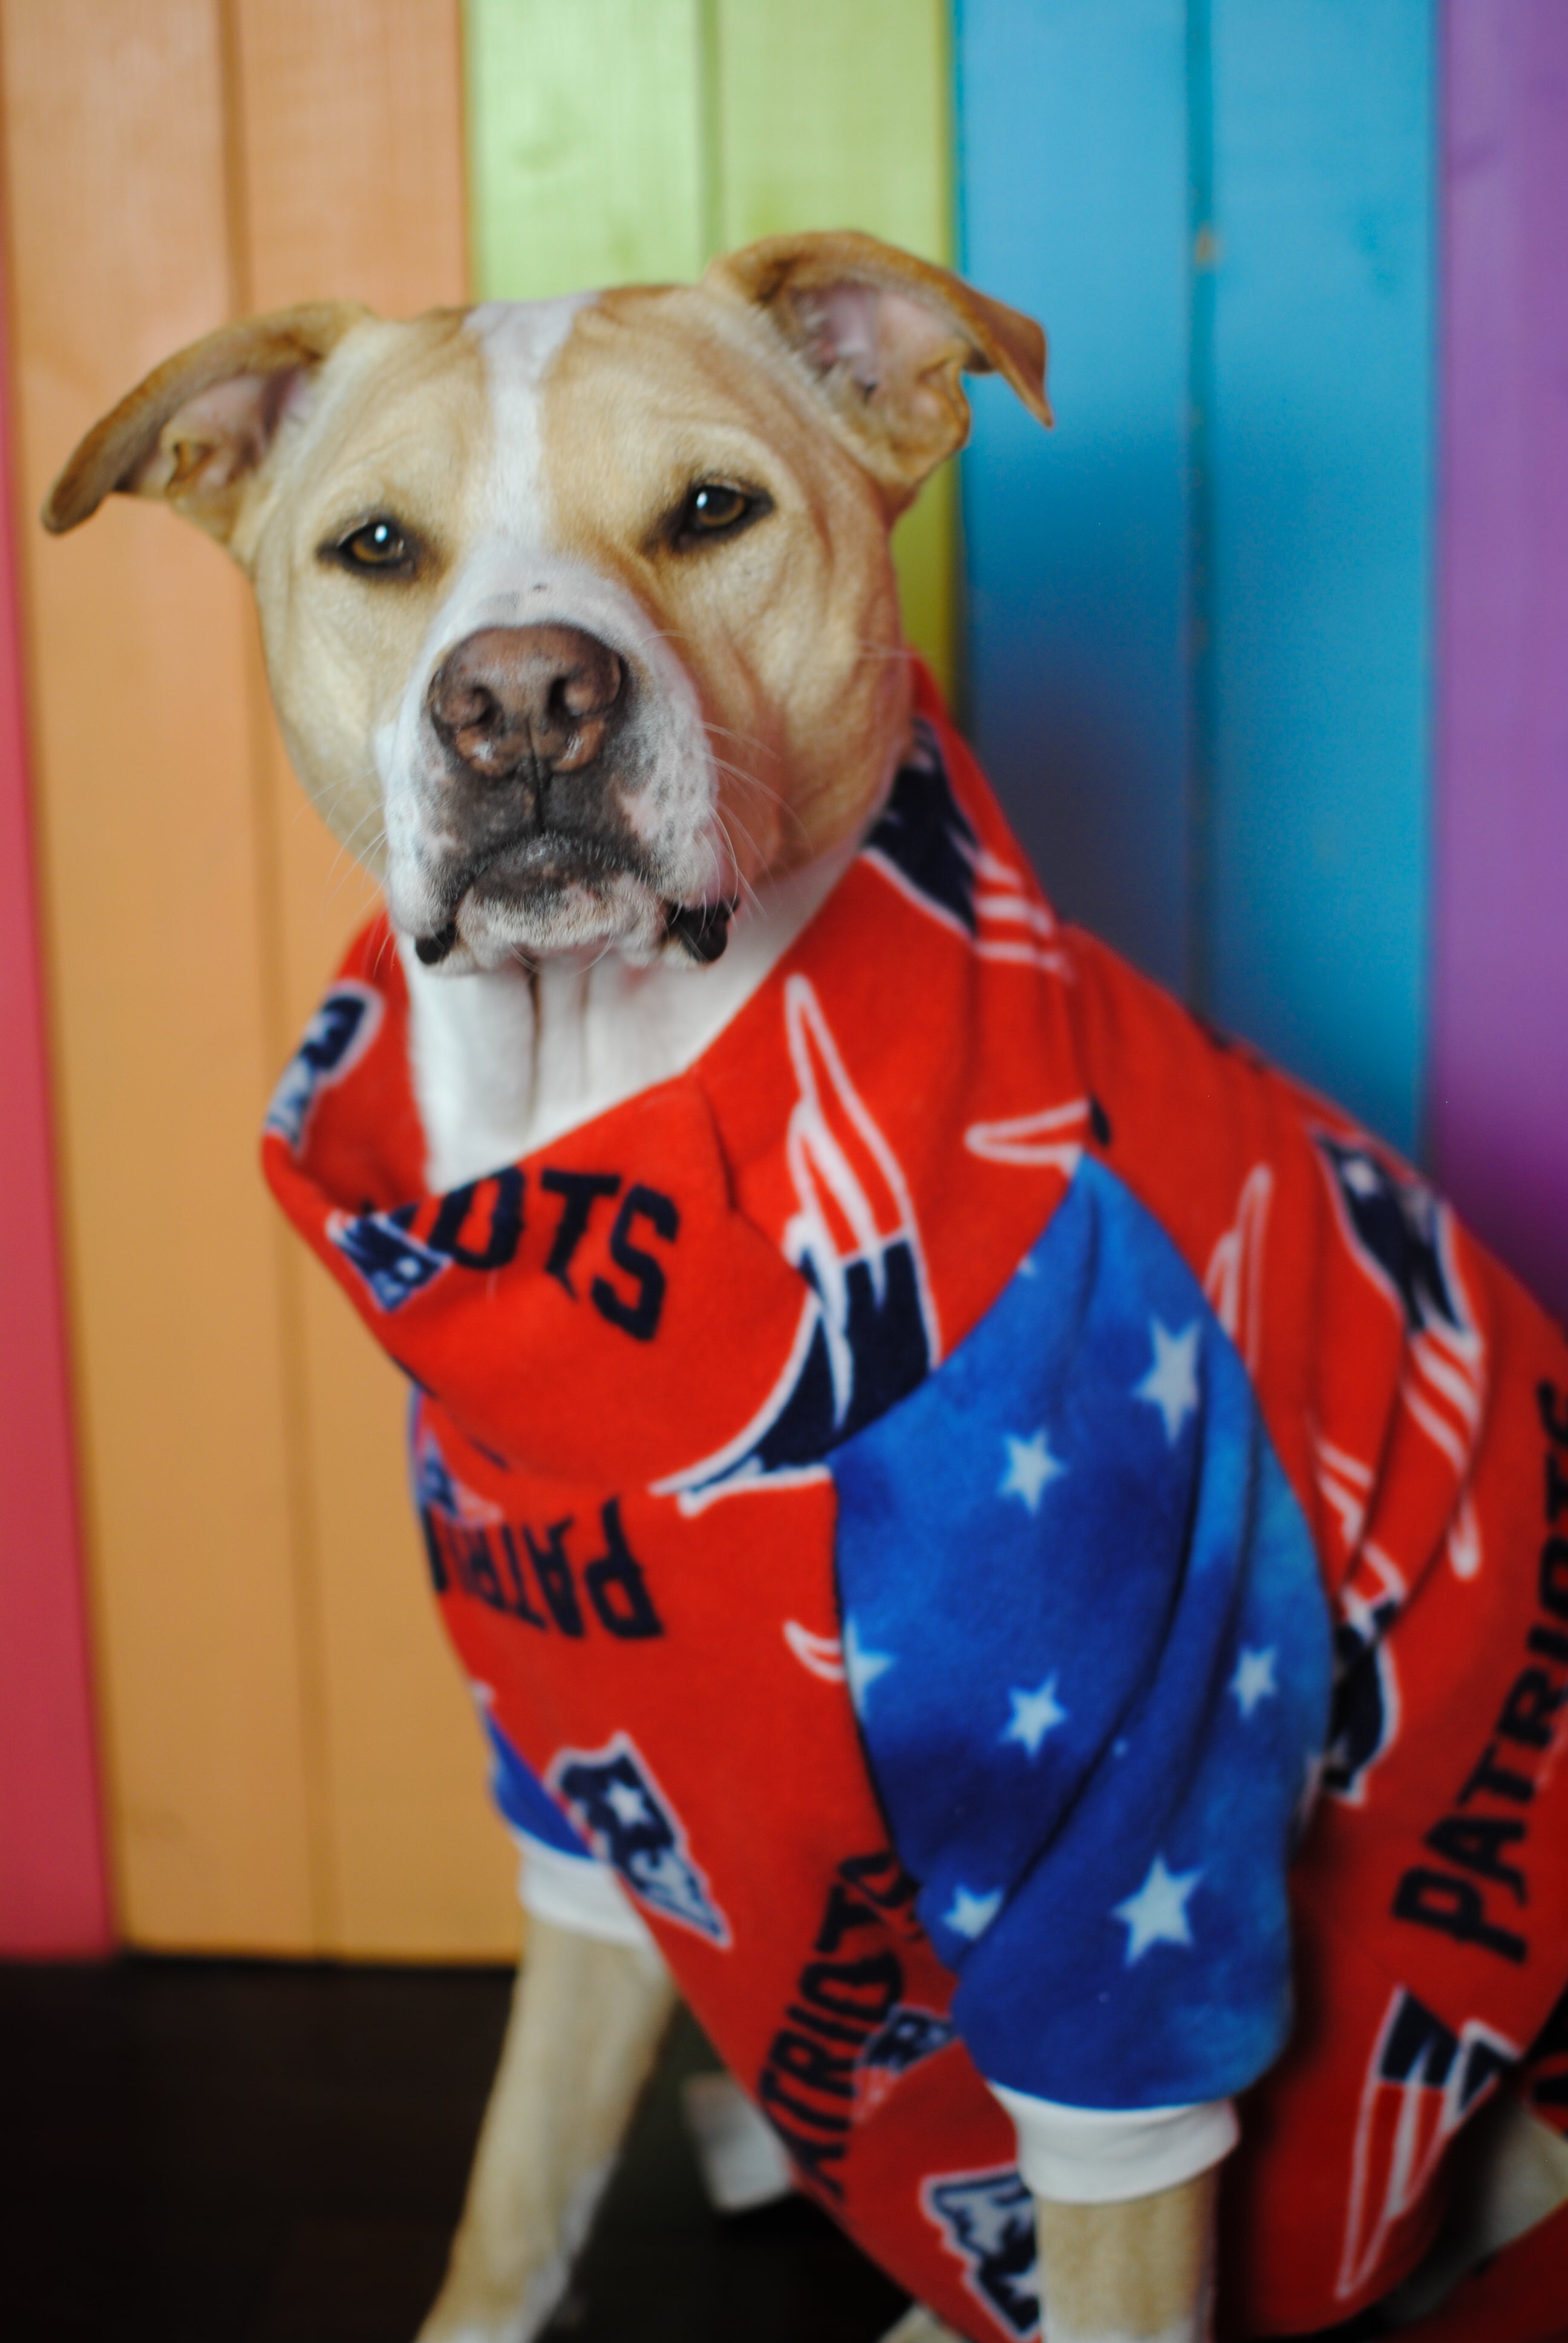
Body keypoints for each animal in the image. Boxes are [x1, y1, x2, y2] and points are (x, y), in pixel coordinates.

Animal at [46, 233, 1566, 2343]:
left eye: (711, 512)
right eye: (377, 547)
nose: (524, 700)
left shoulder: (1137, 1897)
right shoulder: (584, 1811)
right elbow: (513, 2200)